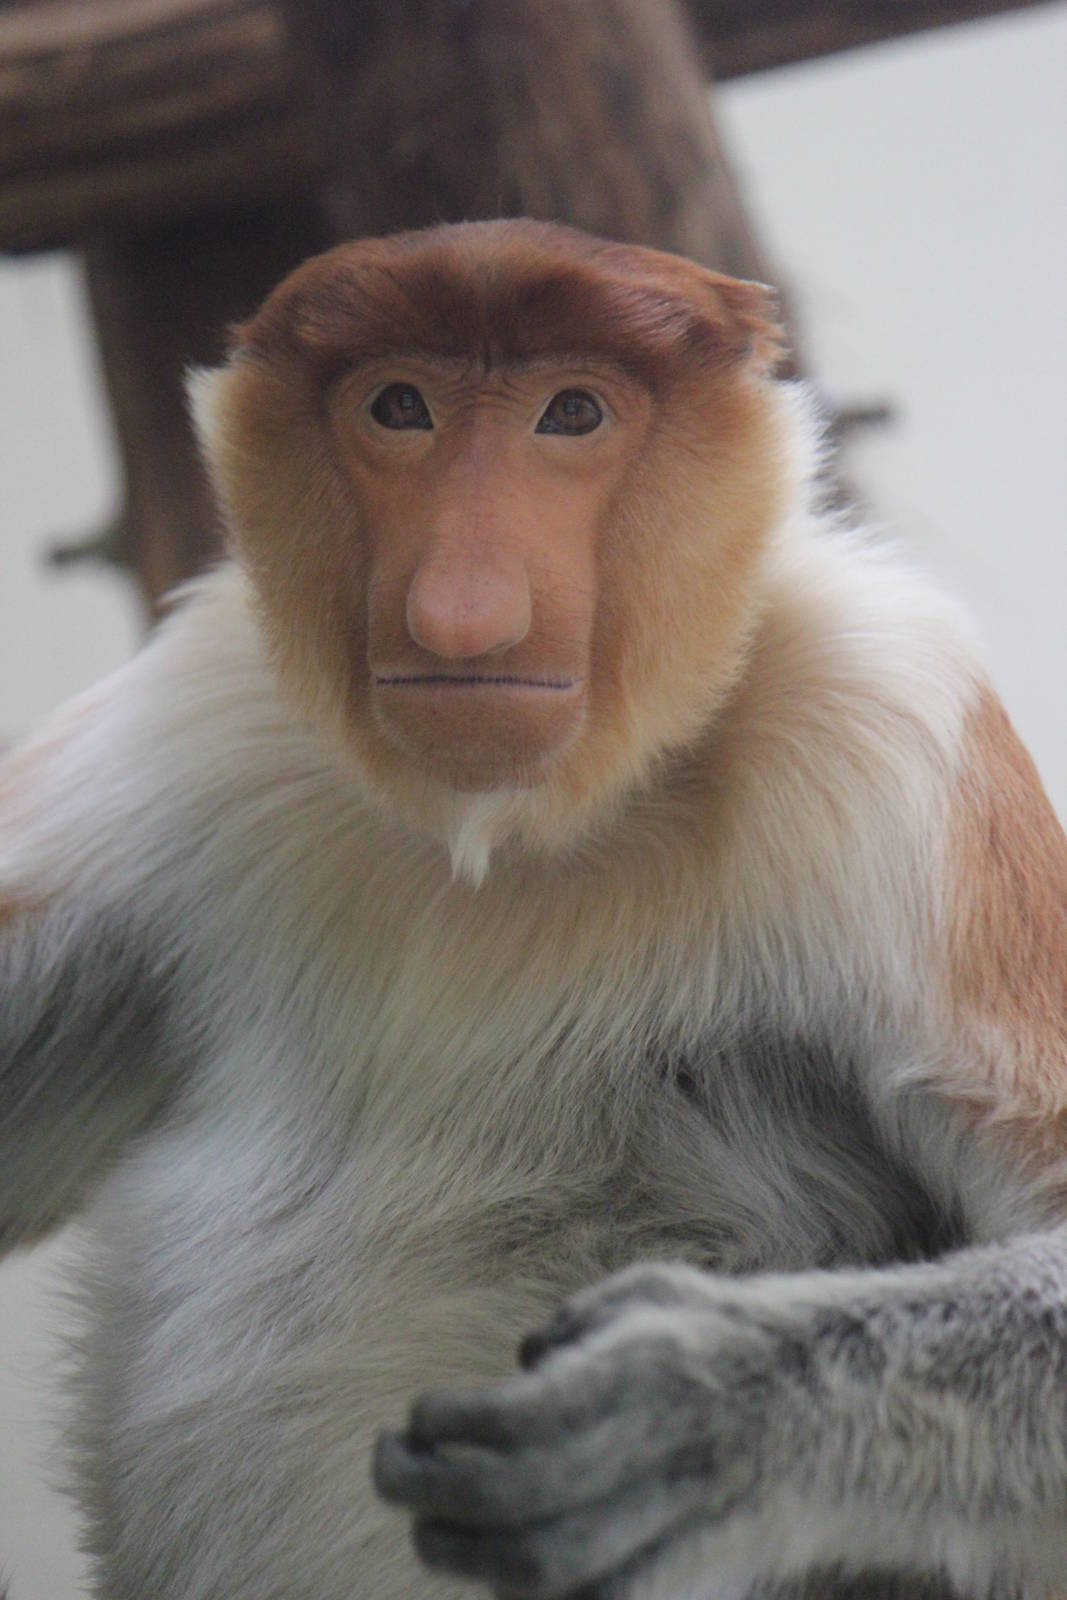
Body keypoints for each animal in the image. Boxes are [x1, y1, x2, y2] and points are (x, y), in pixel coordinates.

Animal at [1, 218, 1065, 1600]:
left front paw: (684, 1409)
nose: (460, 613)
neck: (504, 843)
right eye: (399, 406)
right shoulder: (191, 715)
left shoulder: (886, 734)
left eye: (572, 413)